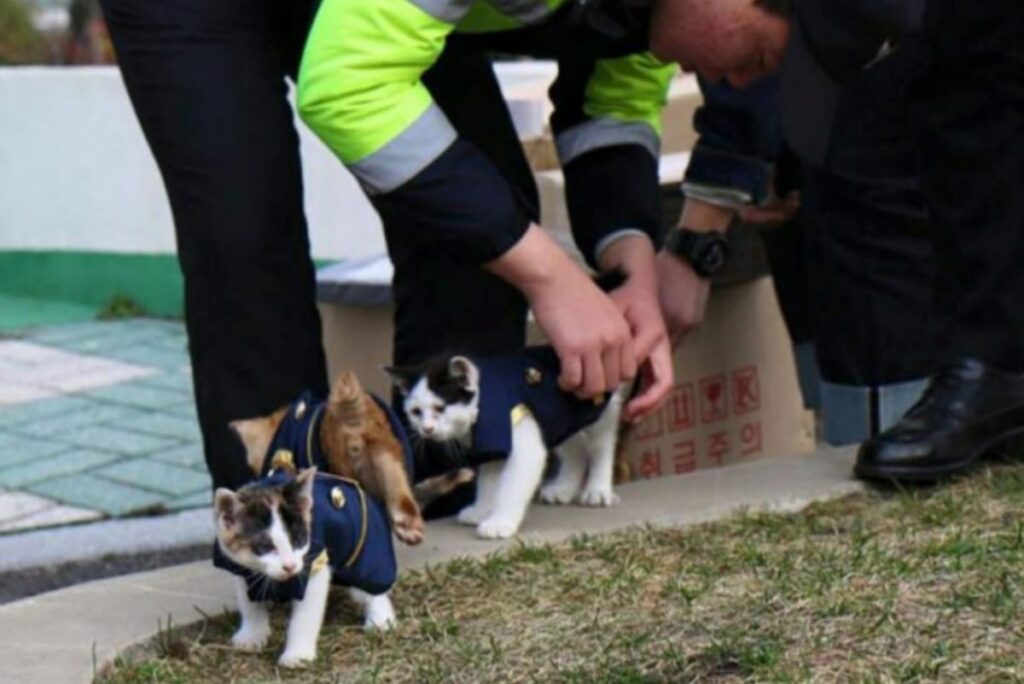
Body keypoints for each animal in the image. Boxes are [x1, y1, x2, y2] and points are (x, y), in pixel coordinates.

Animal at [385, 352, 618, 540]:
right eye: (416, 412)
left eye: (440, 408)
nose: (427, 429)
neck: (483, 403)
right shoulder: (492, 446)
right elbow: (488, 482)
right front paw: (482, 510)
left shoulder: (523, 445)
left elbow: (511, 487)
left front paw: (500, 522)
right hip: (561, 419)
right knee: (576, 450)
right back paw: (564, 488)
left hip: (600, 410)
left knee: (602, 445)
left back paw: (598, 490)